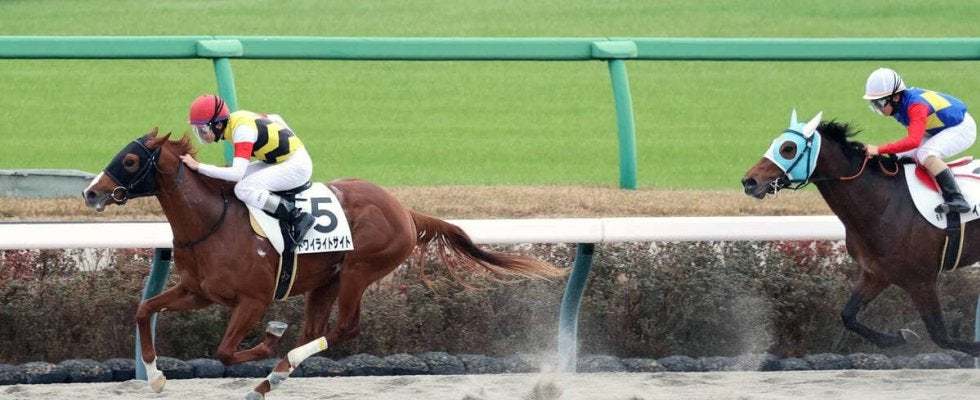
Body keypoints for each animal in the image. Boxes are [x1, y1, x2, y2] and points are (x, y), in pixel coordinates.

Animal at [82, 129, 565, 399]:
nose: (91, 191)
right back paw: (272, 379)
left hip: (359, 270)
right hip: (325, 280)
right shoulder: (198, 291)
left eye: (130, 159)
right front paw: (156, 377)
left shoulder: (253, 300)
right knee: (317, 330)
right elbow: (144, 309)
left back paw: (277, 366)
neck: (211, 222)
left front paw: (268, 341)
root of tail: (404, 210)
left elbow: (225, 351)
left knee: (344, 328)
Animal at [741, 110, 980, 356]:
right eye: (775, 143)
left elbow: (941, 336)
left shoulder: (922, 280)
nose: (749, 181)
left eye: (788, 148)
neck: (884, 203)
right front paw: (898, 337)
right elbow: (848, 316)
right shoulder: (875, 274)